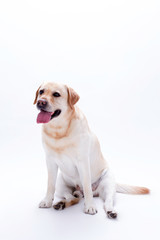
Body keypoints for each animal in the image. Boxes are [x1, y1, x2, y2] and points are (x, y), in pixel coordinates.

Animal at [33, 81, 149, 218]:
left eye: (56, 94)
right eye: (41, 92)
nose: (40, 102)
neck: (59, 130)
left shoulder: (83, 162)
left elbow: (87, 186)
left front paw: (89, 206)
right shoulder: (50, 162)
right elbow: (49, 184)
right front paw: (47, 201)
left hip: (108, 183)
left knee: (107, 201)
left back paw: (110, 211)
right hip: (61, 183)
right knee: (73, 198)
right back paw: (61, 203)